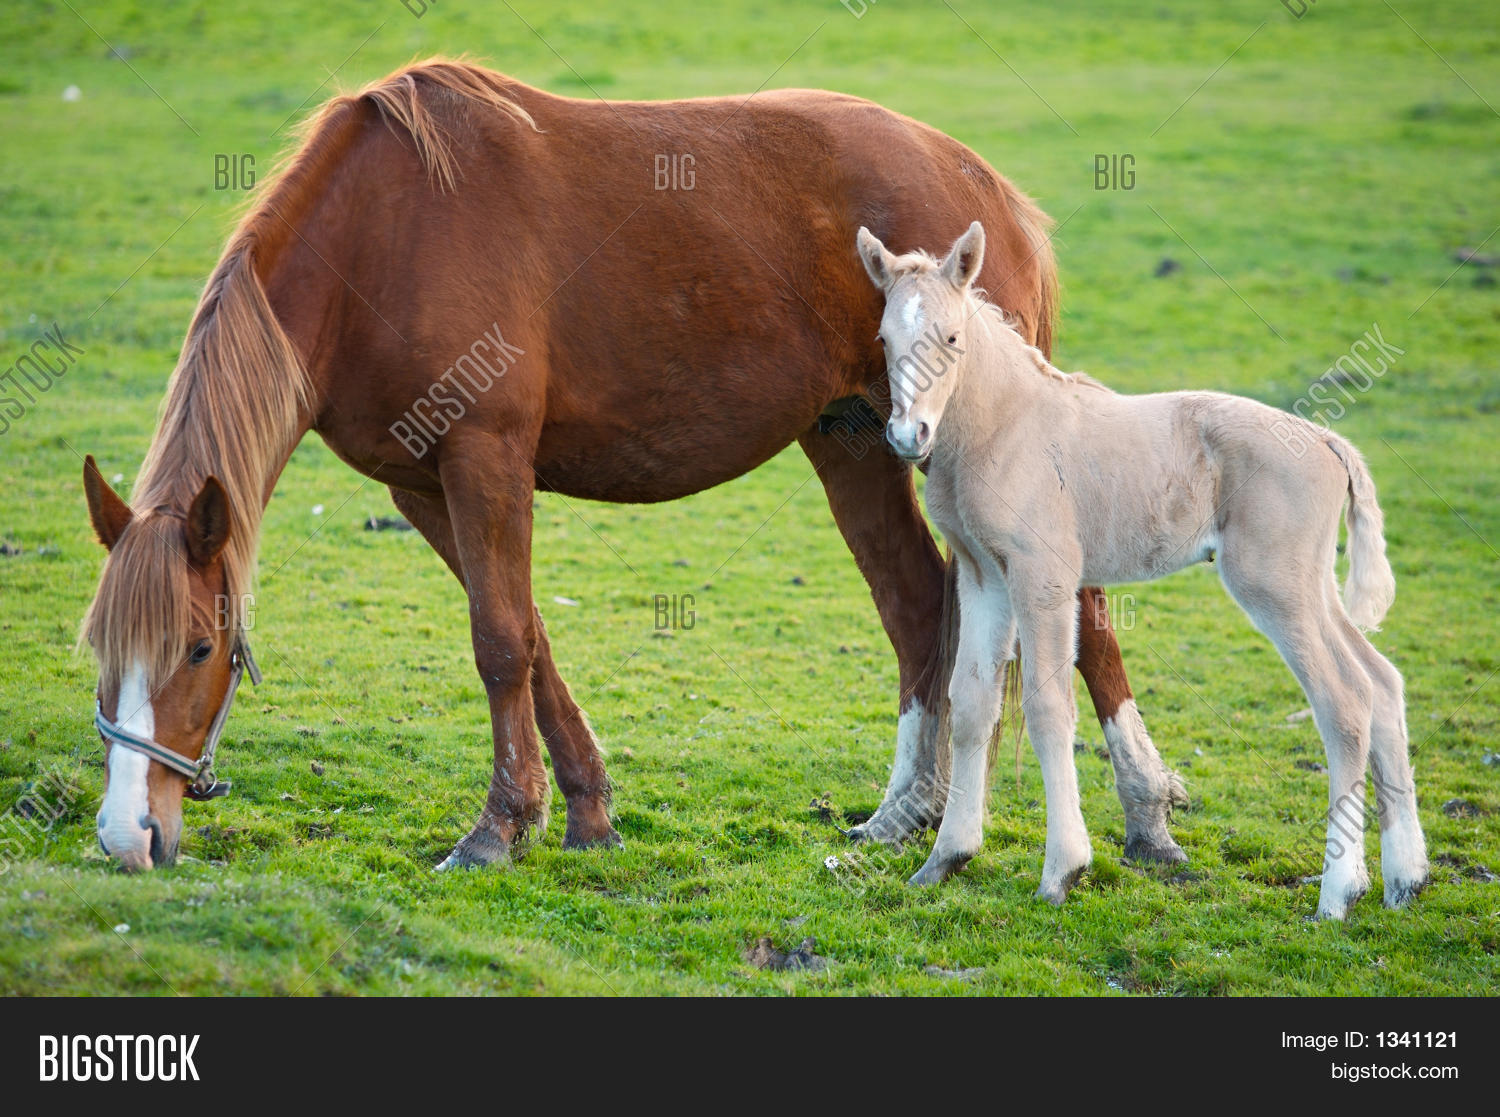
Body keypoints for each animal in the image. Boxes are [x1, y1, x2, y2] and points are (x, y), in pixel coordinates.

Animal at [80, 59, 1185, 874]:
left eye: (197, 647)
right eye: (101, 651)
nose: (128, 836)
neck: (382, 234)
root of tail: (986, 189)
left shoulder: (485, 460)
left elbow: (499, 644)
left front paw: (496, 829)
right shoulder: (423, 483)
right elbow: (528, 634)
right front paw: (583, 811)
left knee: (1083, 614)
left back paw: (1144, 810)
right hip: (854, 445)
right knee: (918, 607)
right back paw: (906, 812)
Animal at [855, 221, 1429, 919]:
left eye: (952, 338)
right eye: (885, 340)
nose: (908, 436)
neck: (1002, 427)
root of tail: (1327, 441)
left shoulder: (1043, 575)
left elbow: (1049, 706)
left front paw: (1062, 871)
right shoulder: (982, 573)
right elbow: (971, 703)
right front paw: (945, 859)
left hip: (1273, 585)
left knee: (1344, 702)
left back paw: (1337, 893)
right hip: (1312, 585)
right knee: (1383, 684)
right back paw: (1404, 880)